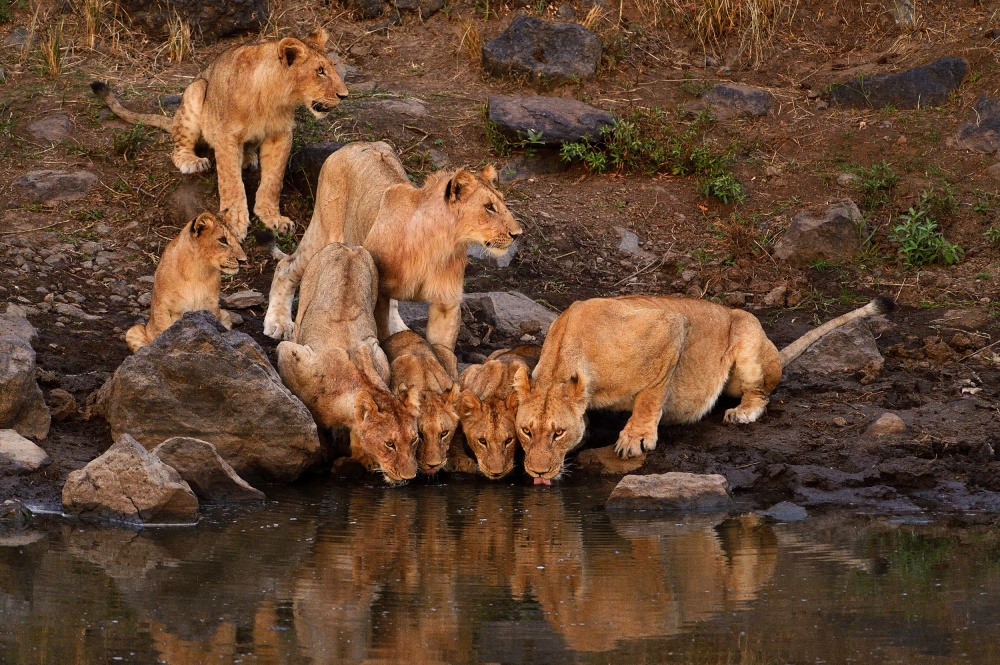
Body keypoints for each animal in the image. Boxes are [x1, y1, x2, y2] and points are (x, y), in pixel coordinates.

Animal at [91, 29, 347, 239]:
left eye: (332, 69)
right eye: (320, 71)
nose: (344, 95)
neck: (273, 98)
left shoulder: (280, 135)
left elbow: (273, 180)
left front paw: (273, 218)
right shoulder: (226, 136)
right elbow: (231, 182)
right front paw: (235, 221)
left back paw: (248, 159)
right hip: (197, 90)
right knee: (178, 147)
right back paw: (193, 162)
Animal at [125, 211, 246, 353]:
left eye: (237, 239)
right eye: (222, 240)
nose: (243, 260)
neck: (197, 271)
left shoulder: (211, 306)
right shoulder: (162, 306)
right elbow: (163, 330)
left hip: (225, 314)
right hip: (134, 330)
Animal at [263, 141, 522, 350]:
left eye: (501, 202)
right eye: (489, 207)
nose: (517, 234)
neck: (439, 245)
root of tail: (357, 143)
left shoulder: (446, 303)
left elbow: (444, 352)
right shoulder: (379, 294)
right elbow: (384, 335)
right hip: (324, 231)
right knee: (286, 266)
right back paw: (277, 322)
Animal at [276, 242, 420, 484]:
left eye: (414, 440)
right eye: (389, 444)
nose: (409, 476)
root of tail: (347, 246)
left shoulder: (377, 353)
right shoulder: (289, 354)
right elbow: (313, 420)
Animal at [513, 295, 895, 484]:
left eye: (559, 433)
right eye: (525, 431)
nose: (537, 473)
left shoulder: (670, 325)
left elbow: (651, 393)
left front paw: (635, 438)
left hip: (747, 336)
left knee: (762, 393)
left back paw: (742, 412)